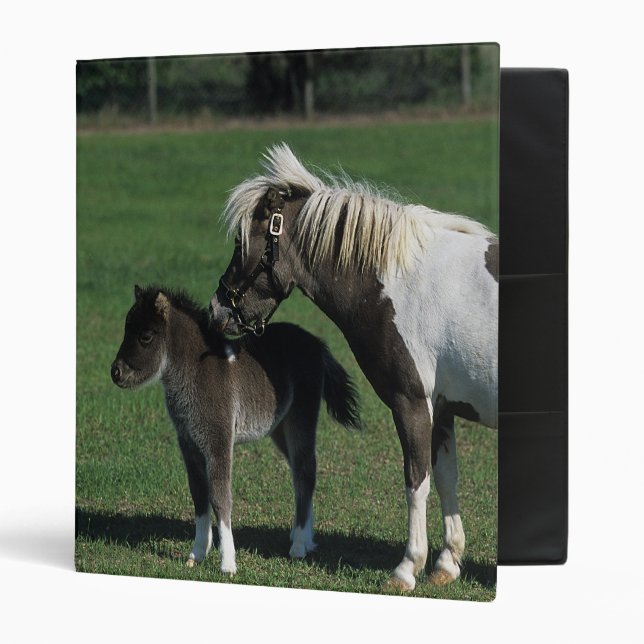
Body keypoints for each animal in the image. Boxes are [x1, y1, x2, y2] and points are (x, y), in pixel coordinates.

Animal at [111, 284, 360, 575]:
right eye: (126, 329)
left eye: (146, 336)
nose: (116, 372)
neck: (195, 371)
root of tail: (316, 344)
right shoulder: (189, 444)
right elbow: (199, 496)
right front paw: (197, 554)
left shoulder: (218, 440)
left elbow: (220, 498)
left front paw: (228, 563)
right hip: (279, 427)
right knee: (301, 473)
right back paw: (306, 539)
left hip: (302, 418)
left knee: (305, 472)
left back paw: (298, 546)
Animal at [209, 144, 498, 590]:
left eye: (243, 242)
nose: (217, 310)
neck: (397, 281)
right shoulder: (442, 408)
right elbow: (446, 478)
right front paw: (446, 564)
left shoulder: (411, 403)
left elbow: (416, 482)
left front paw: (406, 568)